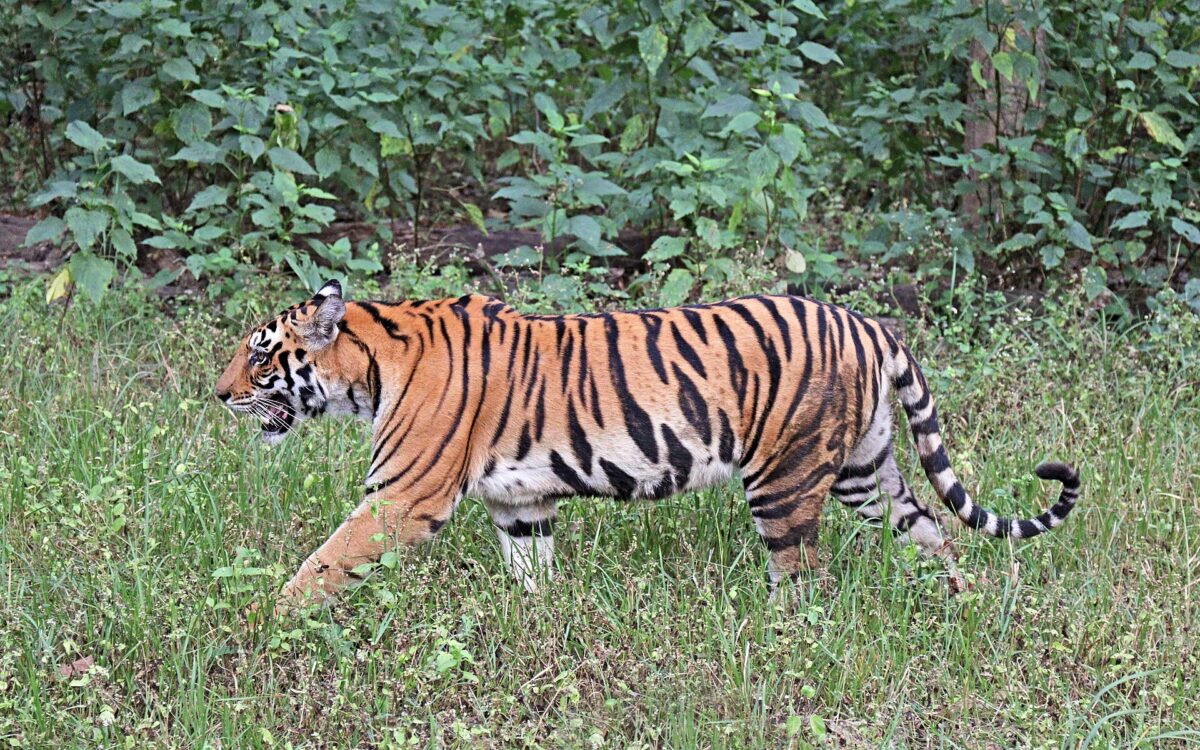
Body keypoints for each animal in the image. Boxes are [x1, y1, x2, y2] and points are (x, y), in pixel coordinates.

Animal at [215, 280, 1080, 604]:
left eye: (260, 354)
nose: (217, 394)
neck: (370, 368)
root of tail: (868, 322)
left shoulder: (402, 498)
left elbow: (323, 563)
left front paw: (269, 619)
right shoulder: (519, 504)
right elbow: (532, 574)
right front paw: (538, 629)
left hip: (785, 479)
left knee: (804, 578)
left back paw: (783, 640)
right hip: (865, 470)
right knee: (931, 533)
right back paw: (960, 607)